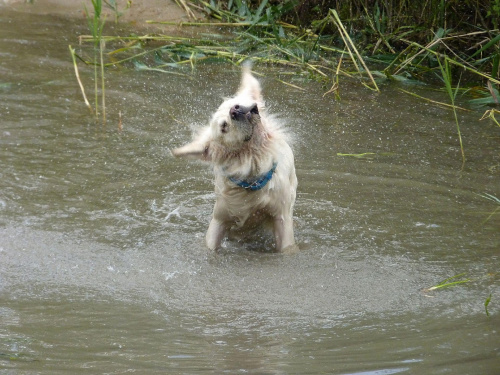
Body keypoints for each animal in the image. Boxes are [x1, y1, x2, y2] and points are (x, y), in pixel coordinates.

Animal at [172, 65, 296, 253]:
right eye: (224, 127)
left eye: (233, 105)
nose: (236, 110)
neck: (252, 163)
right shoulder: (220, 217)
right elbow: (210, 244)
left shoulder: (281, 216)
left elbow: (287, 247)